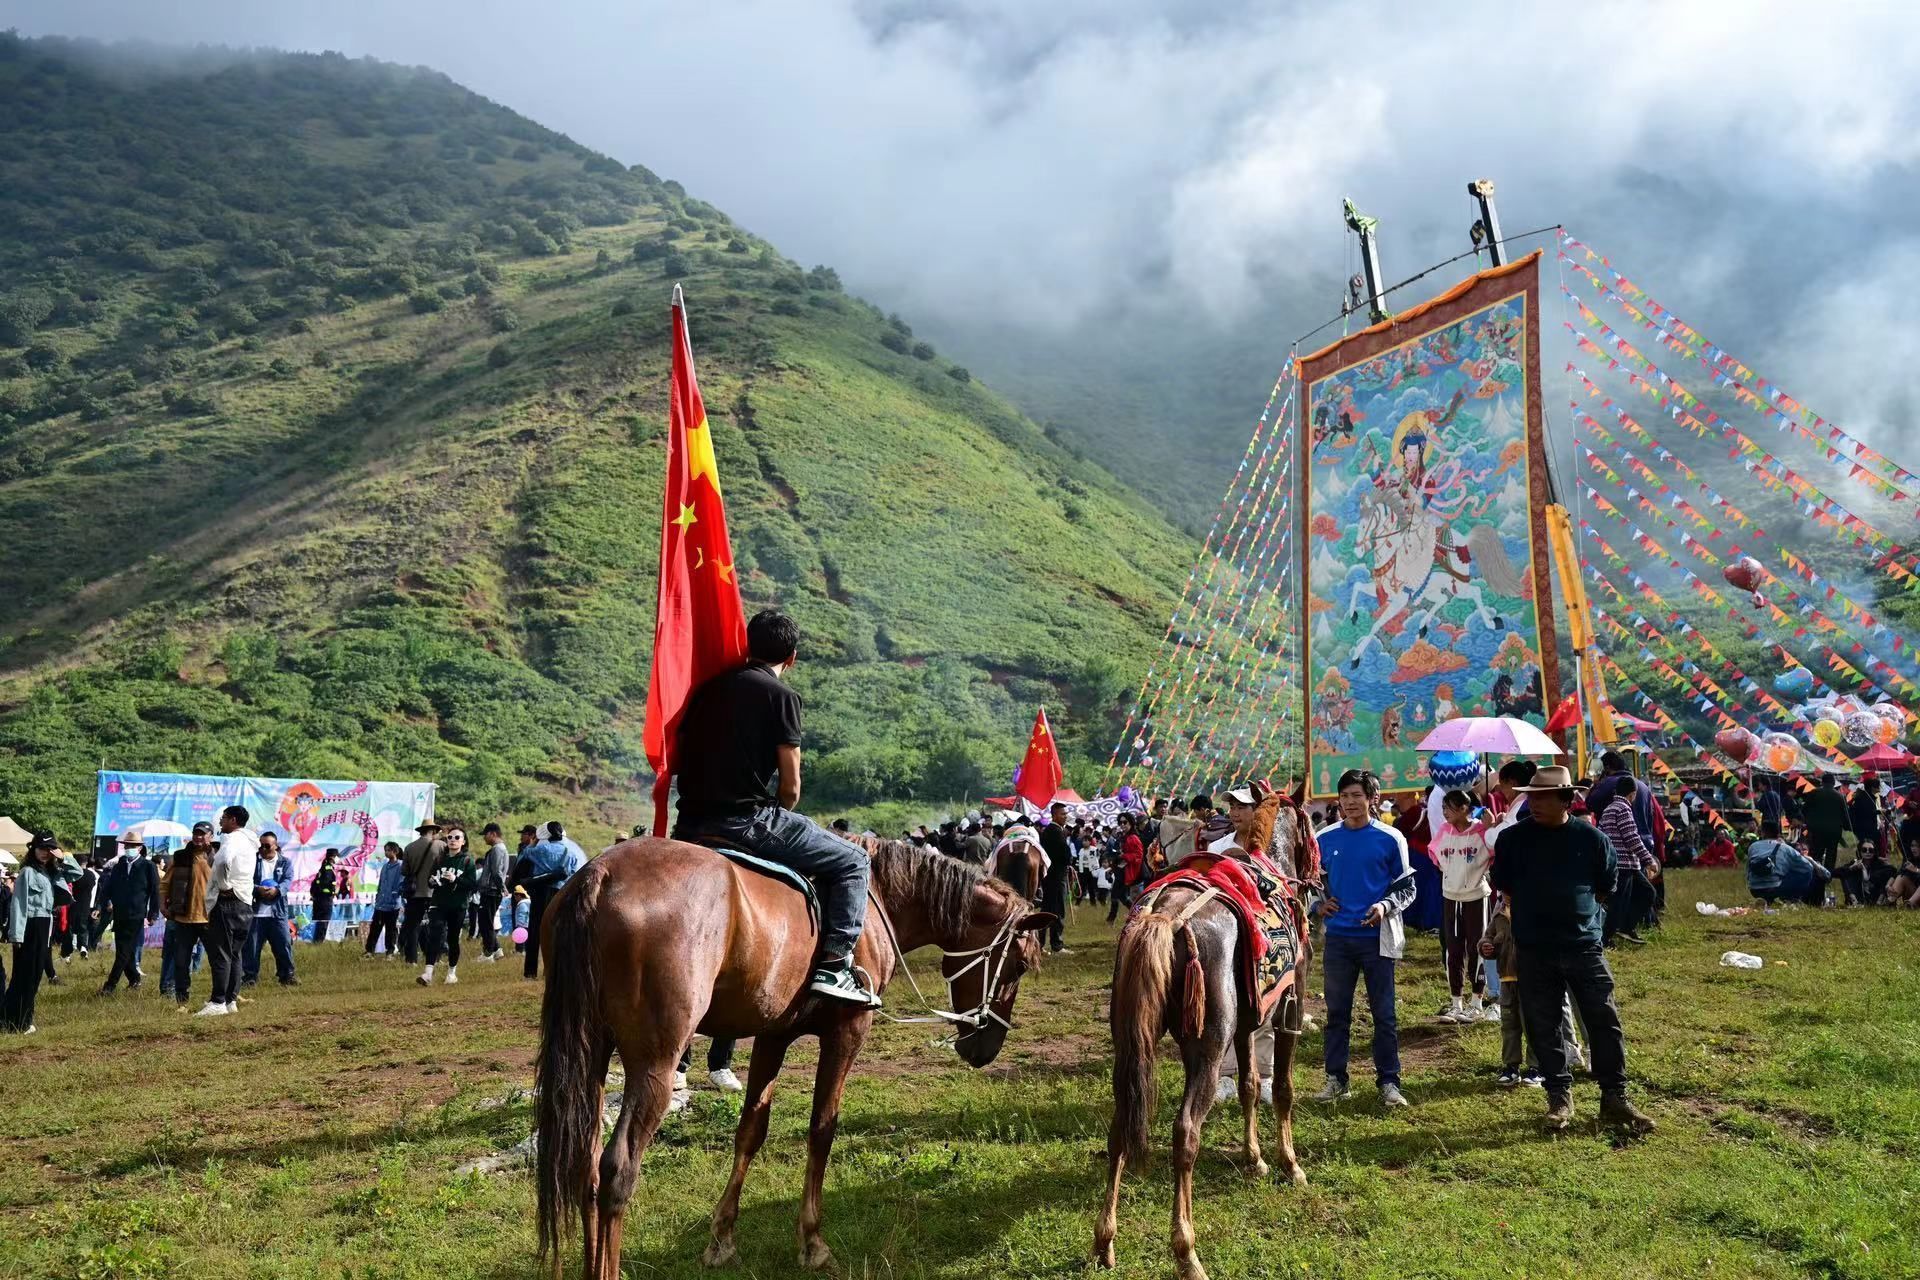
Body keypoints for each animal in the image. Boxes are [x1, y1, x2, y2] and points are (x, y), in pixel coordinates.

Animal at [537, 836, 1052, 1274]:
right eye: (1019, 965)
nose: (985, 1047)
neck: (880, 899)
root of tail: (599, 874)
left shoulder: (772, 1036)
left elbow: (750, 1130)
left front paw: (722, 1238)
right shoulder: (847, 1032)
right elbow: (822, 1129)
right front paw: (812, 1242)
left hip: (591, 1056)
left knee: (586, 1166)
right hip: (655, 1064)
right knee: (617, 1170)